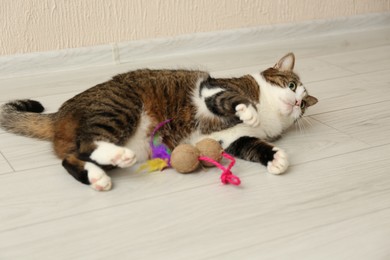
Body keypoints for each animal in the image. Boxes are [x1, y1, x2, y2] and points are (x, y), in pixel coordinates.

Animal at [0, 52, 316, 191]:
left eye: (303, 105)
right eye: (291, 85)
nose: (296, 102)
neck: (269, 109)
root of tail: (60, 114)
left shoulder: (230, 140)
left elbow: (254, 145)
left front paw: (277, 159)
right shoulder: (212, 89)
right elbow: (231, 99)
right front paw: (248, 111)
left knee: (71, 158)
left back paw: (98, 177)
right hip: (121, 107)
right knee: (87, 144)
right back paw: (117, 157)